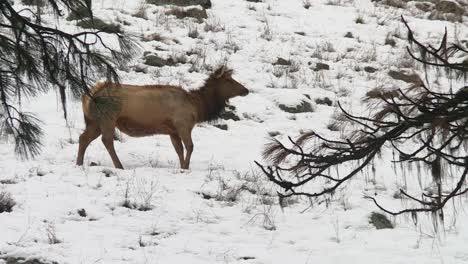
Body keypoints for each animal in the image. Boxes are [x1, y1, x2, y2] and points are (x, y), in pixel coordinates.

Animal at [76, 65, 249, 169]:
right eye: (229, 80)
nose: (246, 90)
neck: (198, 107)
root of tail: (88, 95)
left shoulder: (172, 131)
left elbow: (179, 150)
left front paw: (182, 167)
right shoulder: (183, 124)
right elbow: (190, 146)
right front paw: (186, 167)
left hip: (94, 121)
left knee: (83, 138)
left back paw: (79, 163)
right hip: (108, 118)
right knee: (107, 140)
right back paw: (119, 166)